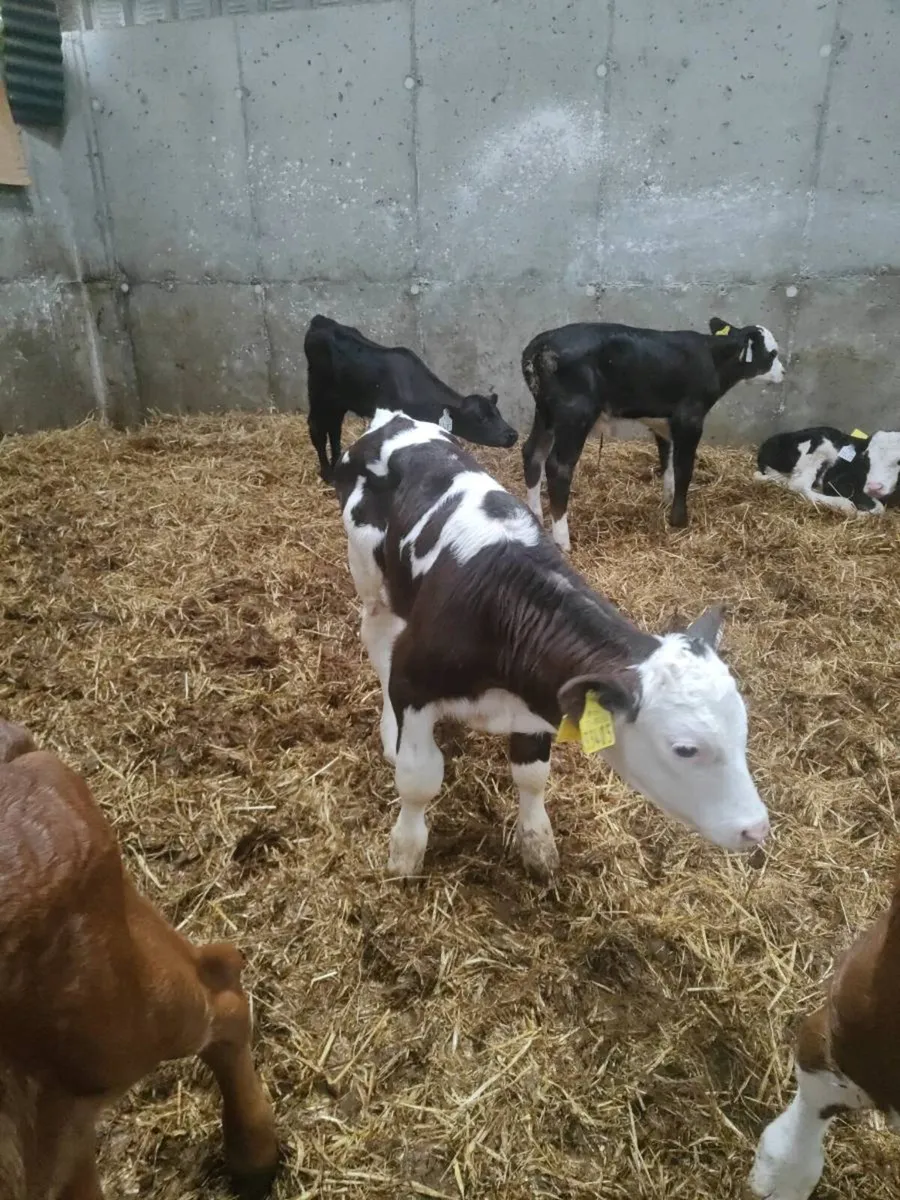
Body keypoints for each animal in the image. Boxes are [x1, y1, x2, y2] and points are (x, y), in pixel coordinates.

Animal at [303, 314, 518, 482]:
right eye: (481, 418)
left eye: (498, 413)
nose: (512, 434)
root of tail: (320, 321)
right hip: (318, 393)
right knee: (316, 427)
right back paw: (327, 474)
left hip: (338, 402)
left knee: (334, 428)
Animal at [333, 409, 770, 881]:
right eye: (685, 749)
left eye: (743, 728)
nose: (756, 829)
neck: (502, 610)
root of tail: (395, 419)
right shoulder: (413, 684)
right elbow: (418, 779)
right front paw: (405, 854)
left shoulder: (541, 702)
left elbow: (532, 775)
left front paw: (537, 843)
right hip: (369, 577)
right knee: (378, 642)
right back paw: (388, 728)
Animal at [520, 317, 786, 546]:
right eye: (772, 353)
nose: (783, 372)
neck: (712, 359)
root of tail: (541, 344)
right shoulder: (690, 418)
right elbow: (684, 468)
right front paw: (679, 520)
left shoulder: (663, 422)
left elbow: (667, 460)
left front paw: (668, 499)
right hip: (575, 415)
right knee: (558, 467)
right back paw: (562, 540)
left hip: (546, 413)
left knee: (533, 453)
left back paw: (535, 517)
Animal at [755, 425, 900, 517]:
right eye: (866, 457)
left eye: (899, 460)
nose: (874, 487)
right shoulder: (836, 483)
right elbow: (879, 508)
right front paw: (860, 513)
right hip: (819, 448)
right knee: (798, 486)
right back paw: (844, 504)